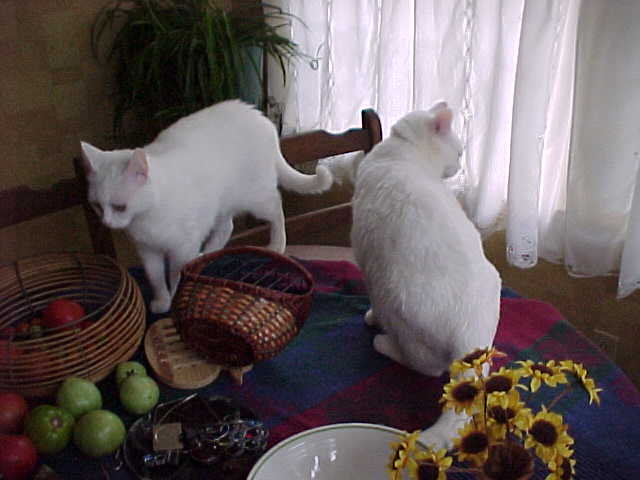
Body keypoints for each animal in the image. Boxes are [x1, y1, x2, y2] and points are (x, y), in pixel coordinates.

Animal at [82, 99, 332, 314]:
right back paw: (206, 254)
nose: (106, 222)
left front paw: (175, 298)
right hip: (220, 205)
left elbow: (174, 275)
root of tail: (260, 118)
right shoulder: (148, 251)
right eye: (97, 206)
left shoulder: (182, 248)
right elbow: (156, 279)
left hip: (255, 197)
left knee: (276, 208)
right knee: (227, 228)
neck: (147, 217)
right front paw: (162, 301)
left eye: (119, 207)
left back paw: (277, 244)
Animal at [348, 102, 502, 450]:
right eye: (459, 152)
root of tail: (470, 330)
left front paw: (369, 318)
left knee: (426, 367)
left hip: (394, 301)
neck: (403, 153)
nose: (458, 166)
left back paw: (382, 341)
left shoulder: (364, 258)